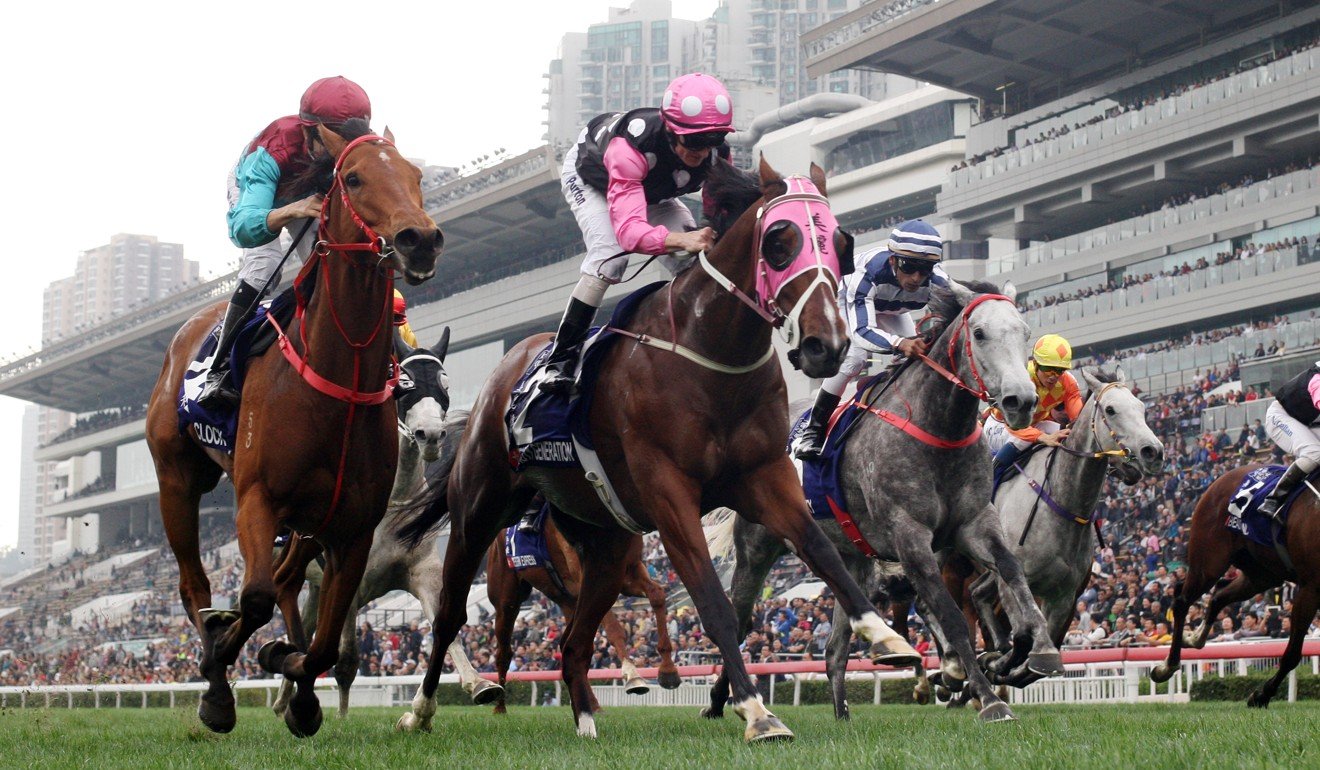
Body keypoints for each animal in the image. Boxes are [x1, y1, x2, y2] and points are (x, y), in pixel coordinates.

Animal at [143, 123, 440, 739]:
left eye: (416, 175)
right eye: (354, 178)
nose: (419, 240)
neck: (337, 375)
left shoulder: (352, 529)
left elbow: (326, 642)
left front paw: (295, 680)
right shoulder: (257, 499)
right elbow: (252, 598)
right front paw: (226, 670)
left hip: (308, 522)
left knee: (282, 585)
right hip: (176, 481)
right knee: (196, 585)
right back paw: (216, 668)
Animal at [273, 334, 504, 718]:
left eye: (445, 384)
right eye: (402, 386)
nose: (430, 435)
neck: (393, 503)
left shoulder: (422, 572)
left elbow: (445, 626)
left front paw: (477, 685)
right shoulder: (350, 580)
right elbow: (346, 660)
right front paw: (341, 718)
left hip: (317, 587)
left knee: (304, 628)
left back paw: (280, 700)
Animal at [483, 501, 681, 713]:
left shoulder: (629, 572)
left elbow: (657, 595)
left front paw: (668, 671)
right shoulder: (589, 579)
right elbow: (614, 629)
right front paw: (632, 675)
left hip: (565, 598)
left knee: (570, 643)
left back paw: (590, 703)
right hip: (506, 599)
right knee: (504, 651)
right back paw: (499, 706)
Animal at [1151, 464, 1320, 713]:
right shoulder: (1310, 587)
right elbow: (1292, 655)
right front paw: (1260, 695)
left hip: (1261, 574)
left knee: (1218, 596)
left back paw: (1194, 638)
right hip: (1209, 563)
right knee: (1182, 600)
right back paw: (1167, 666)